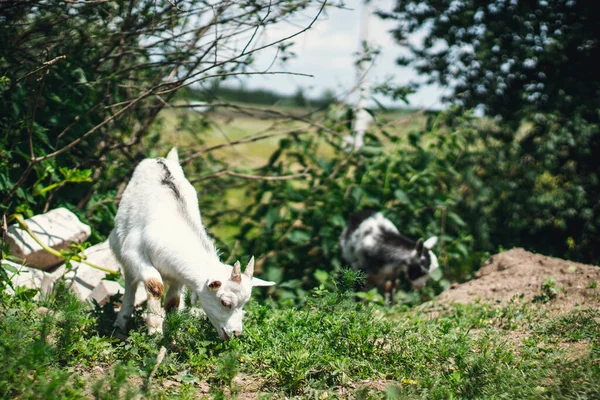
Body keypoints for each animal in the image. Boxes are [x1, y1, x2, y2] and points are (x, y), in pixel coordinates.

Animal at [110, 148, 274, 340]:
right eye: (225, 302)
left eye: (244, 304)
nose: (235, 333)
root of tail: (162, 159)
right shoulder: (134, 252)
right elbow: (155, 285)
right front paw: (155, 331)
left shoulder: (177, 273)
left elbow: (173, 301)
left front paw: (172, 331)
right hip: (119, 245)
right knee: (130, 280)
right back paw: (121, 323)